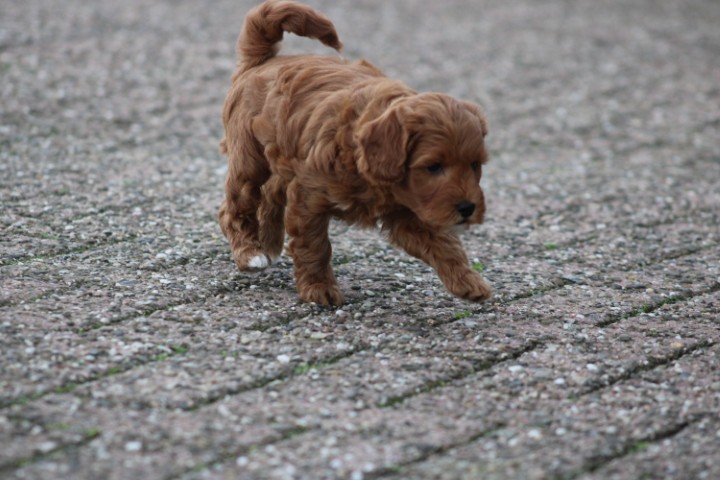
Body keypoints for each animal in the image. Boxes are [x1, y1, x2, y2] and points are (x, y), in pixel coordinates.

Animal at [219, 0, 492, 306]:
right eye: (433, 167)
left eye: (475, 165)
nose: (467, 209)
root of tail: (264, 61)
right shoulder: (309, 196)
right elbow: (314, 244)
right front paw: (319, 288)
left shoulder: (409, 210)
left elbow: (443, 243)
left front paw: (468, 281)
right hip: (248, 157)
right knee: (235, 205)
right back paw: (250, 253)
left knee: (270, 193)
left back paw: (268, 243)